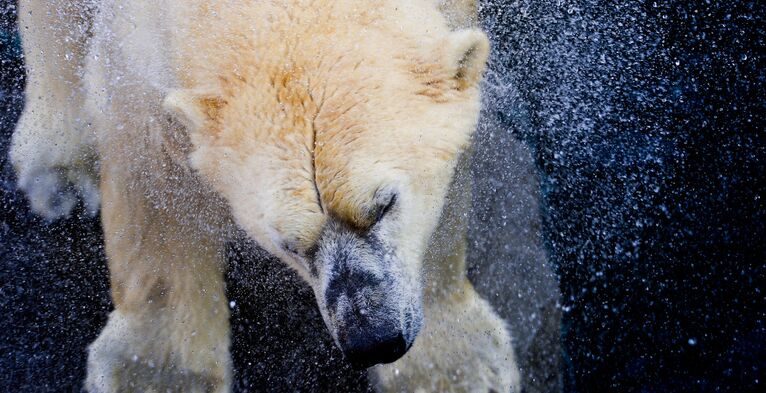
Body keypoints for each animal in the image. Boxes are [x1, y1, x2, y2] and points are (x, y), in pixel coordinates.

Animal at [13, 0, 520, 390]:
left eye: (384, 205)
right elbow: (152, 173)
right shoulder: (135, 50)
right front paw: (160, 376)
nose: (372, 339)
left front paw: (458, 371)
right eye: (286, 243)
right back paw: (56, 170)